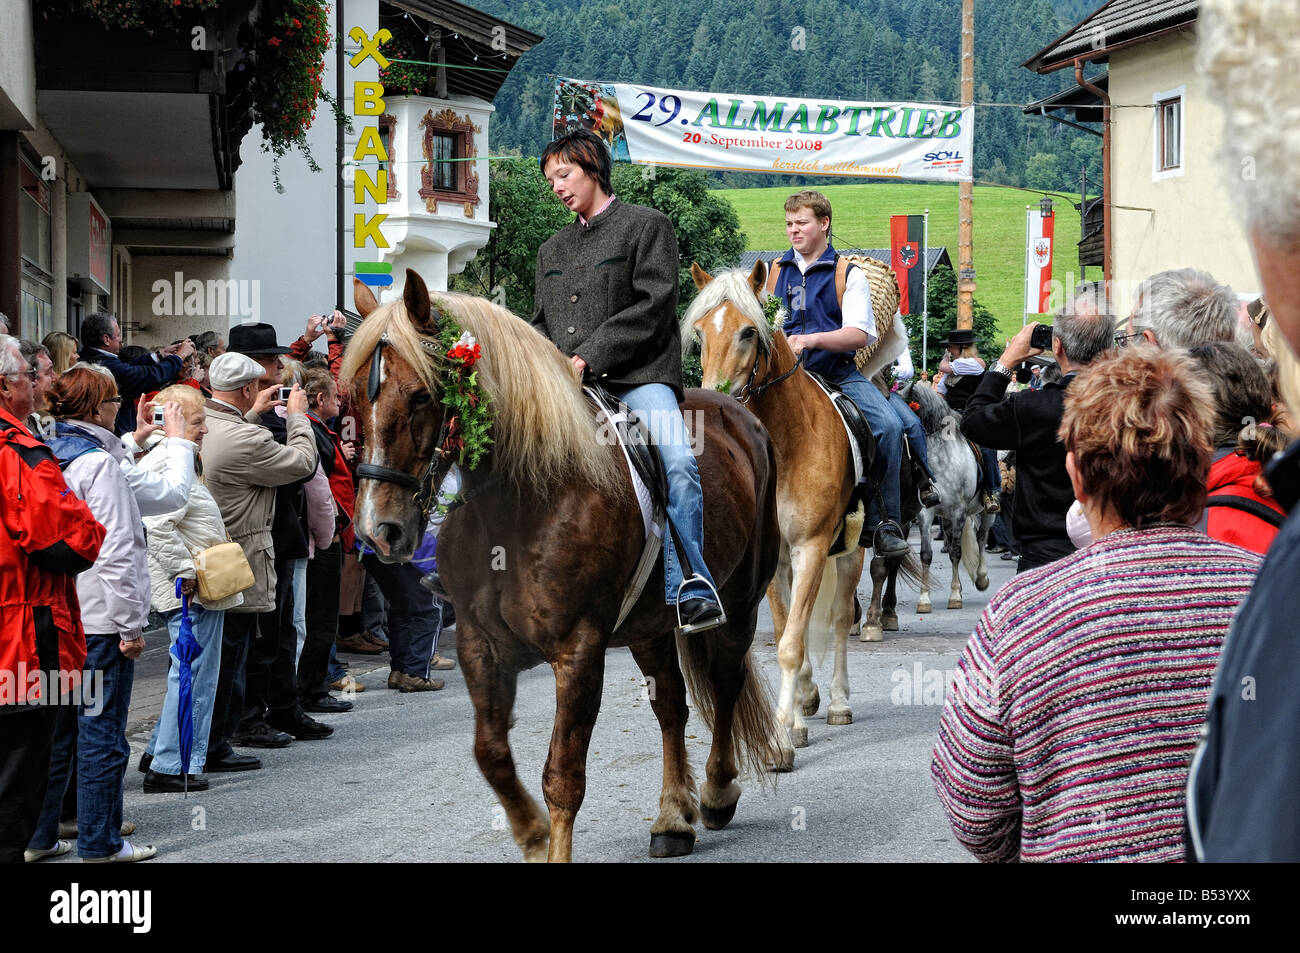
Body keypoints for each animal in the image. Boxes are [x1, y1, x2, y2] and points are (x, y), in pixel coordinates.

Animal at [340, 269, 774, 863]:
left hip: (739, 604)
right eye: (354, 402)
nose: (376, 530)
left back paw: (715, 792)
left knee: (725, 685)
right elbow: (491, 755)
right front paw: (531, 832)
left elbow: (563, 777)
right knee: (671, 705)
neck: (520, 506)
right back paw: (672, 819)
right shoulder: (480, 646)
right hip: (650, 626)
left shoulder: (578, 652)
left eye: (422, 395)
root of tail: (740, 414)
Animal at [686, 262, 920, 774]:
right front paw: (791, 721)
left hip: (850, 552)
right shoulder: (775, 559)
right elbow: (783, 633)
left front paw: (779, 738)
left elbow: (795, 642)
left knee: (838, 618)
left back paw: (836, 702)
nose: (714, 401)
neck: (786, 441)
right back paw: (809, 701)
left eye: (748, 331)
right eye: (700, 332)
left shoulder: (812, 547)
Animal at [899, 379, 987, 608]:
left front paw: (955, 595)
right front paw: (924, 598)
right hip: (946, 517)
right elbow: (926, 554)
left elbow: (956, 552)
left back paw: (982, 578)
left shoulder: (959, 511)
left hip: (986, 511)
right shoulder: (926, 513)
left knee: (981, 538)